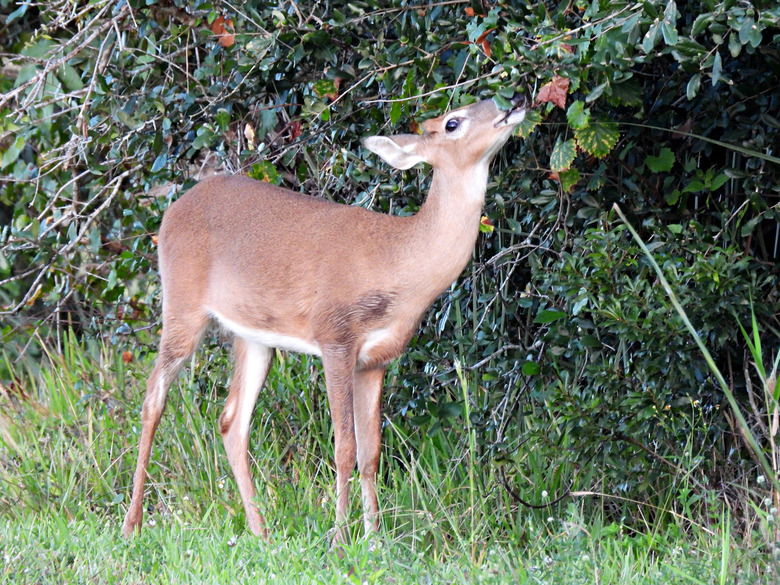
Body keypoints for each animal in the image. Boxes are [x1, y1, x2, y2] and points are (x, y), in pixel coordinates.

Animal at [122, 90, 528, 544]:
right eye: (453, 122)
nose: (512, 100)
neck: (398, 263)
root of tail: (172, 209)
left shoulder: (376, 360)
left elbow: (371, 452)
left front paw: (373, 538)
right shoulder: (335, 337)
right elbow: (344, 447)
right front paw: (339, 539)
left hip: (255, 337)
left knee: (231, 421)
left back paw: (261, 532)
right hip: (182, 305)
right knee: (153, 396)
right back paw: (132, 524)